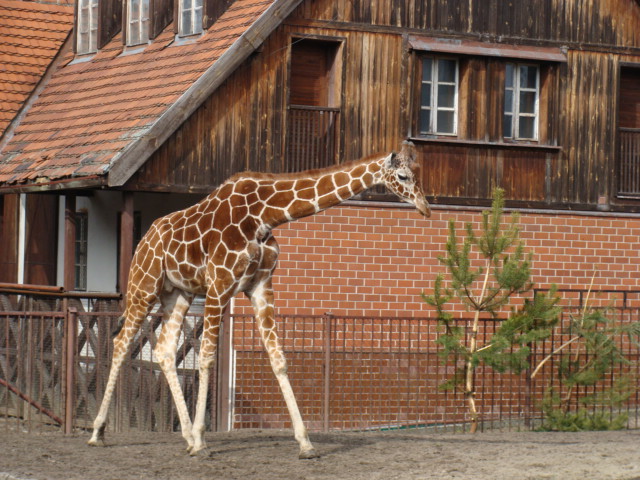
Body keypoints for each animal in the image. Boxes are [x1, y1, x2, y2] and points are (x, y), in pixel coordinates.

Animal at [88, 141, 430, 459]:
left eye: (418, 173)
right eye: (403, 176)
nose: (426, 208)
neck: (265, 215)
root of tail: (143, 240)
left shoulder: (261, 286)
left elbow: (278, 358)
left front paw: (305, 443)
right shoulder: (220, 284)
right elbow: (208, 357)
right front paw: (201, 442)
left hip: (178, 294)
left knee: (163, 350)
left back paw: (183, 436)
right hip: (144, 286)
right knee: (121, 343)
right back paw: (98, 432)